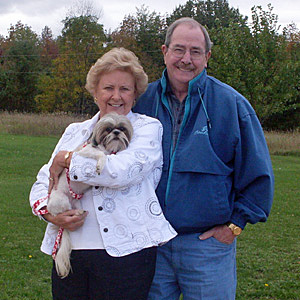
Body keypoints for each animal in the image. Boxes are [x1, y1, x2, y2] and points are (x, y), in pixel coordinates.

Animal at [46, 113, 132, 278]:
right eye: (108, 129)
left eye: (122, 128)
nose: (116, 132)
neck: (107, 148)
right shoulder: (84, 153)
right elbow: (100, 154)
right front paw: (100, 165)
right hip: (61, 199)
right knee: (64, 212)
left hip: (76, 201)